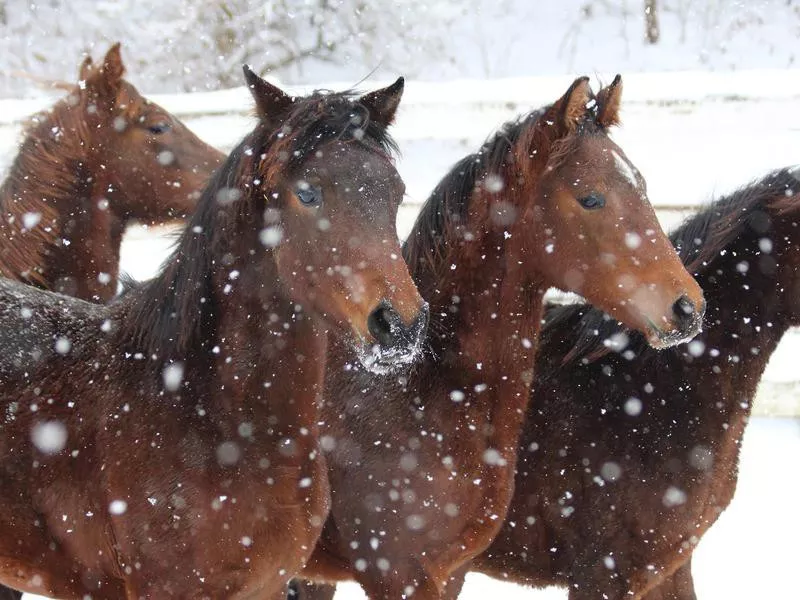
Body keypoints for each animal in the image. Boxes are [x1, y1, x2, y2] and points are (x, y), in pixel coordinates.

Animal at [296, 76, 704, 600]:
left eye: (642, 187)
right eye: (591, 198)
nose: (688, 307)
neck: (413, 394)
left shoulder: (450, 572)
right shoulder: (395, 573)